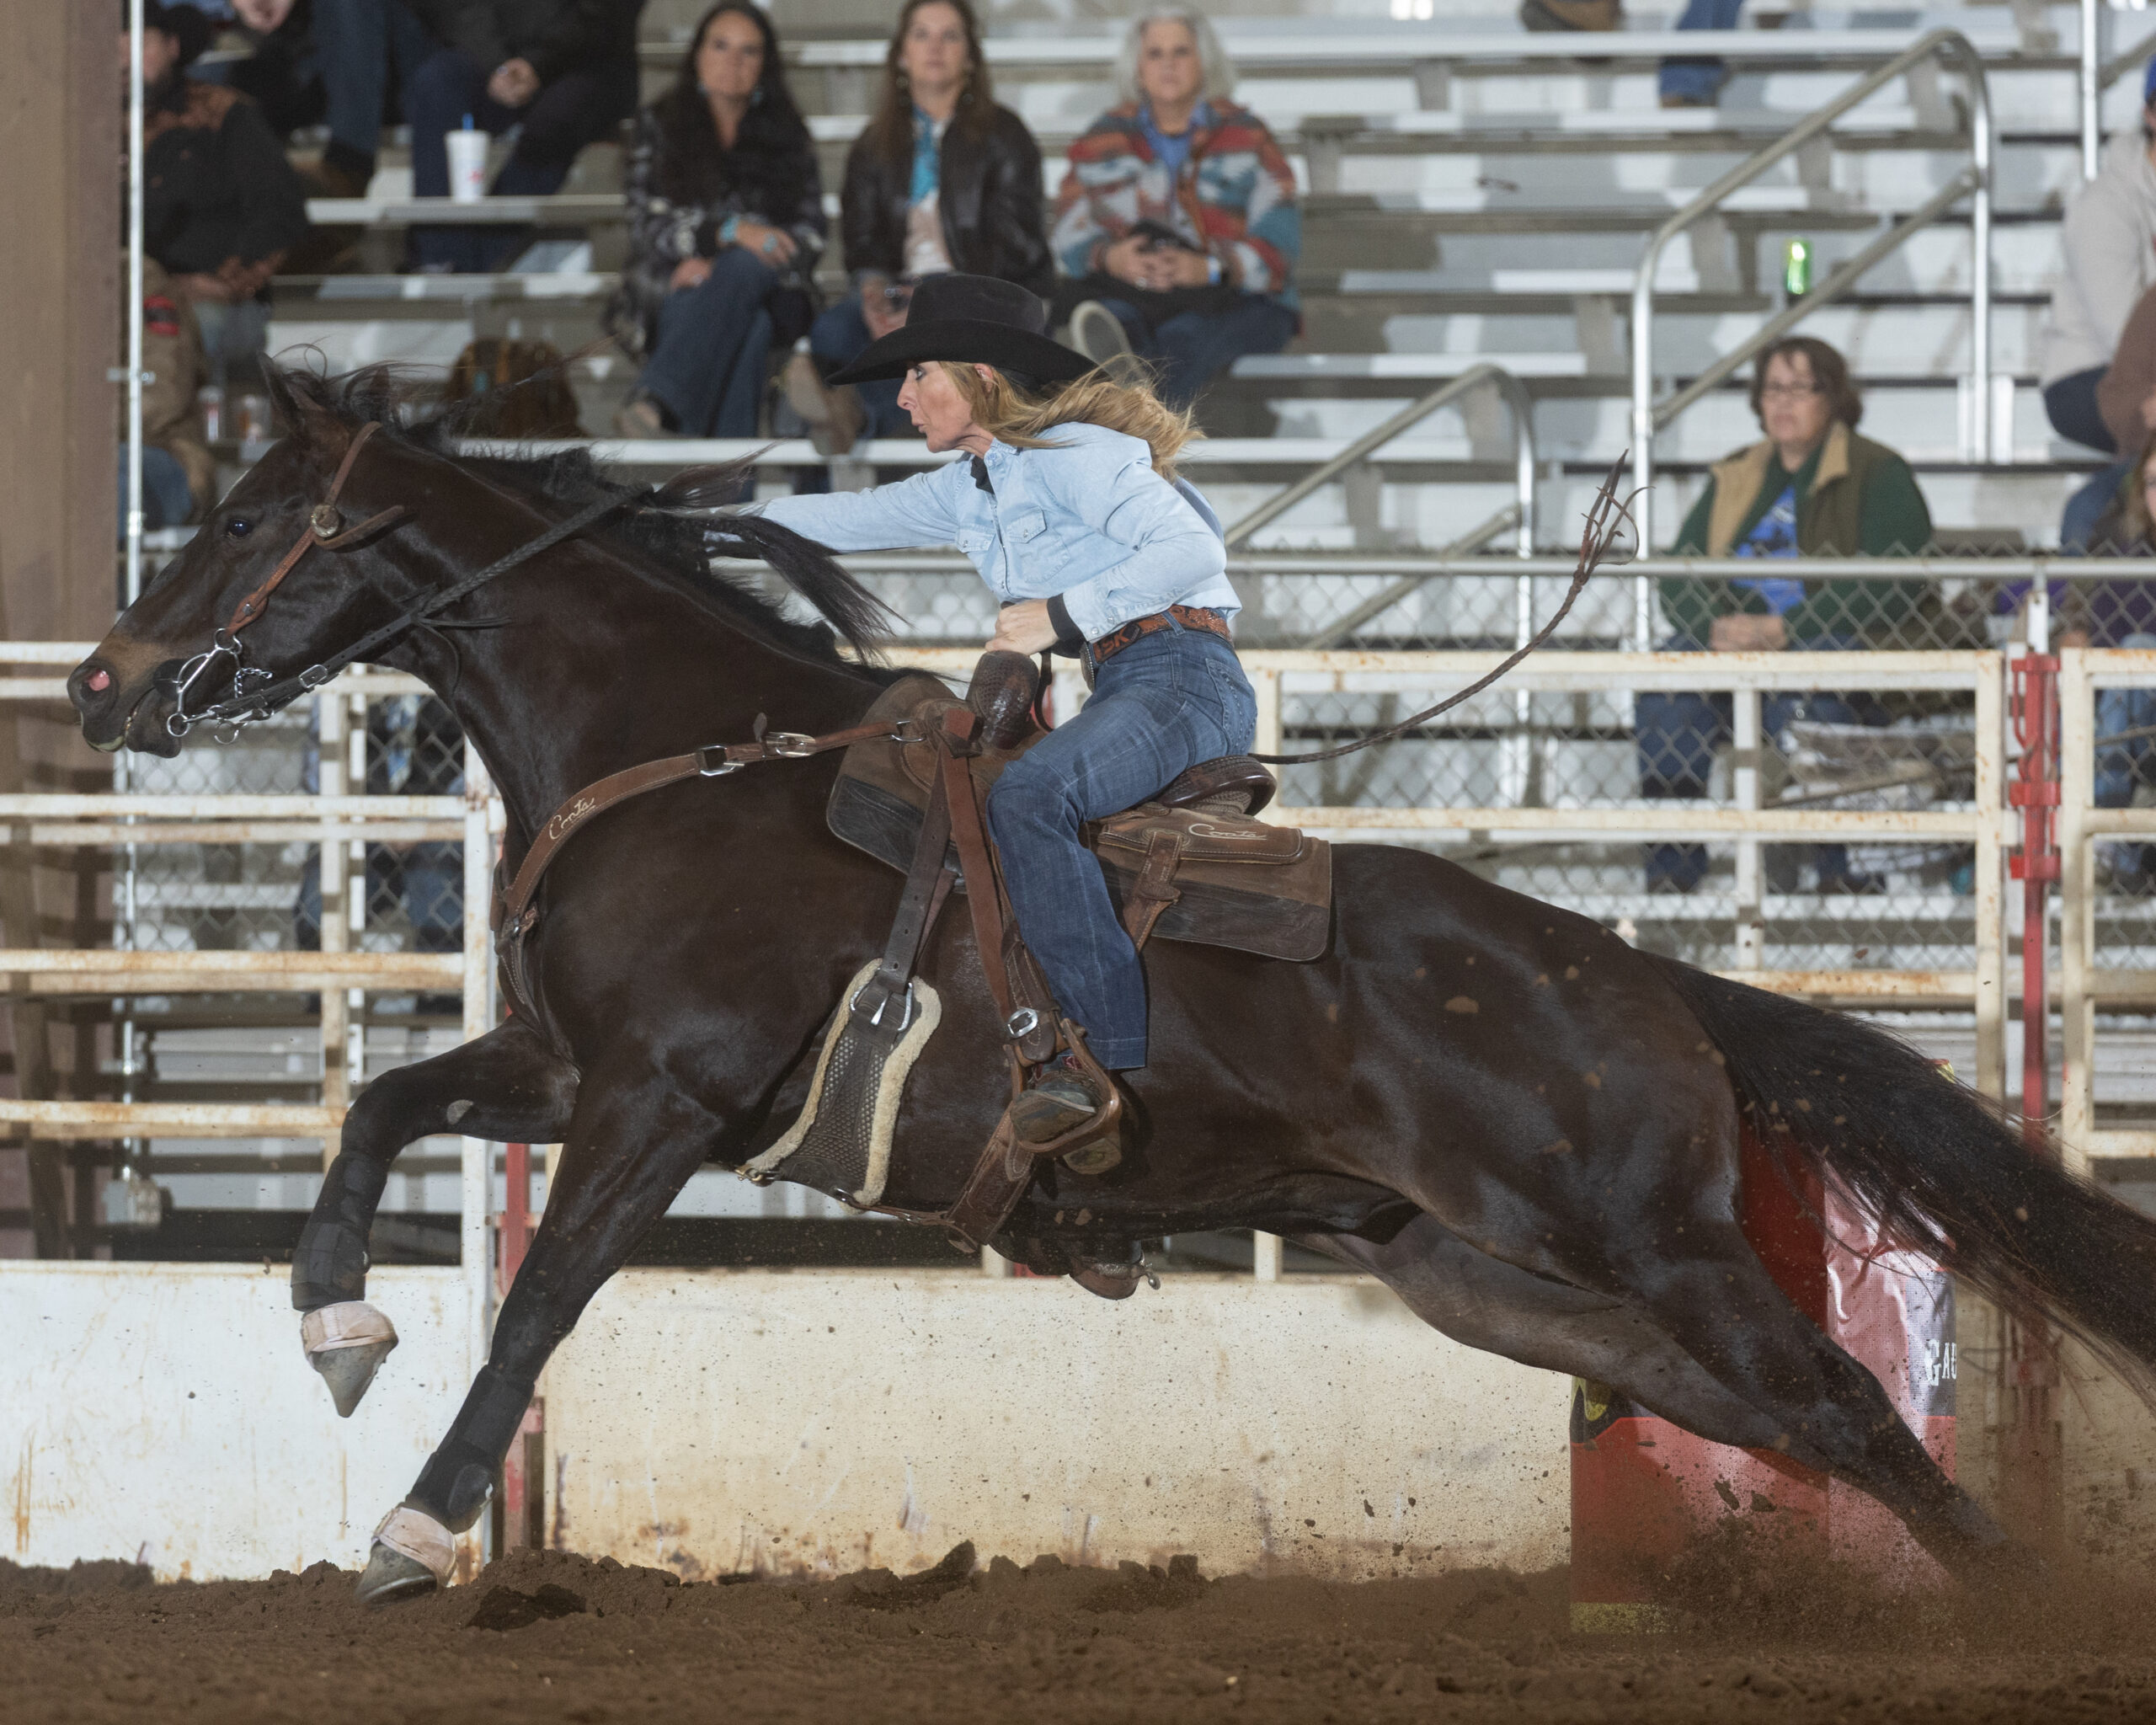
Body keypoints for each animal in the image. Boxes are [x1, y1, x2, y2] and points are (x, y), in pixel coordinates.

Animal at [69, 366, 2156, 1603]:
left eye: (242, 519)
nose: (97, 684)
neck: (683, 752)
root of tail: (1637, 977)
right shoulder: (563, 1064)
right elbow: (378, 1105)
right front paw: (338, 1322)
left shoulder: (657, 1099)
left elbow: (537, 1305)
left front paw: (419, 1519)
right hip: (1482, 1276)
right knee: (1764, 1414)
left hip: (1649, 1236)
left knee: (1840, 1397)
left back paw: (2013, 1617)